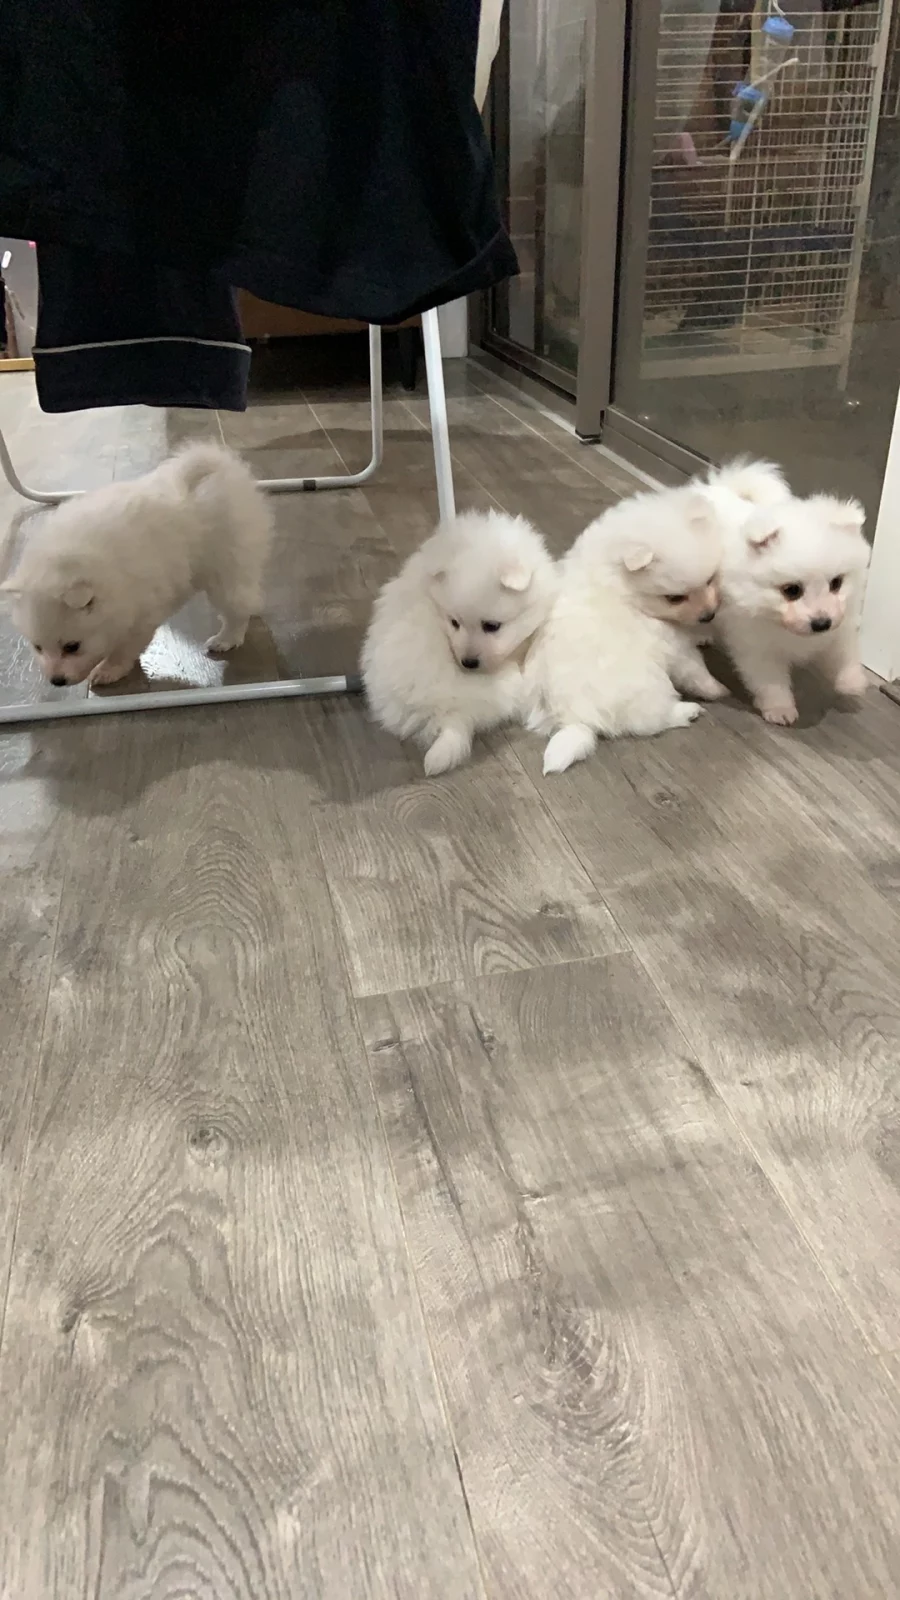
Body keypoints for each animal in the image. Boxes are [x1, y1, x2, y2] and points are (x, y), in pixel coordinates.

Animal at [0, 442, 272, 686]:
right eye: (37, 647)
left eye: (72, 646)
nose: (56, 681)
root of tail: (225, 466)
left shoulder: (141, 614)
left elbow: (124, 648)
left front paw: (108, 670)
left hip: (226, 567)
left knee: (236, 606)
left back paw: (226, 638)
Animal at [526, 479, 725, 774]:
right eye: (674, 598)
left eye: (711, 579)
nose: (708, 615)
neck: (623, 585)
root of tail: (576, 718)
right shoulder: (674, 646)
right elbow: (697, 672)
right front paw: (719, 690)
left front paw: (705, 635)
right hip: (649, 689)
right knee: (652, 721)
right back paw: (686, 711)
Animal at [714, 488, 870, 725]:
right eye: (792, 590)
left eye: (836, 583)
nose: (822, 623)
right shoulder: (755, 644)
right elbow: (770, 680)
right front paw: (780, 708)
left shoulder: (842, 623)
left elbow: (844, 651)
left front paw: (851, 681)